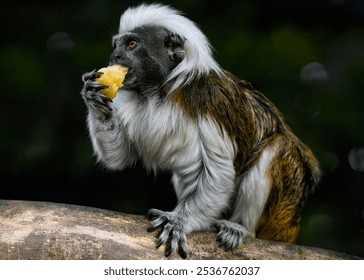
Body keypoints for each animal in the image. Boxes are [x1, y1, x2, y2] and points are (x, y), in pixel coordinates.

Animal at [81, 3, 320, 260]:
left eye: (132, 44)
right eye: (115, 46)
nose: (114, 57)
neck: (158, 92)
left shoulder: (207, 100)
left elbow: (219, 170)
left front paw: (179, 221)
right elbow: (121, 157)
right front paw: (93, 96)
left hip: (283, 208)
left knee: (276, 147)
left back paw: (240, 227)